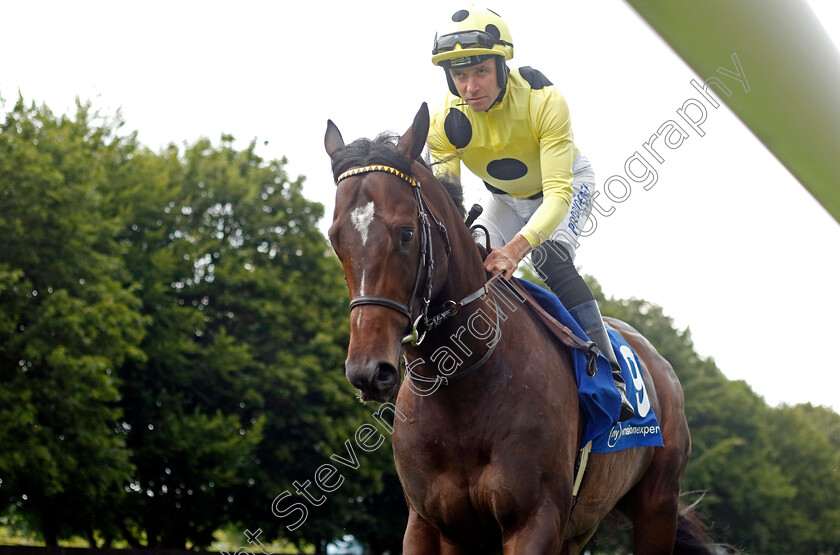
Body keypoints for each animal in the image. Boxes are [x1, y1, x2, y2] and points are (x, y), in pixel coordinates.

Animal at [324, 102, 704, 552]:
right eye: (334, 238)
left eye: (405, 233)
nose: (368, 371)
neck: (463, 387)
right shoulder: (428, 523)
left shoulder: (535, 519)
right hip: (581, 527)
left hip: (656, 506)